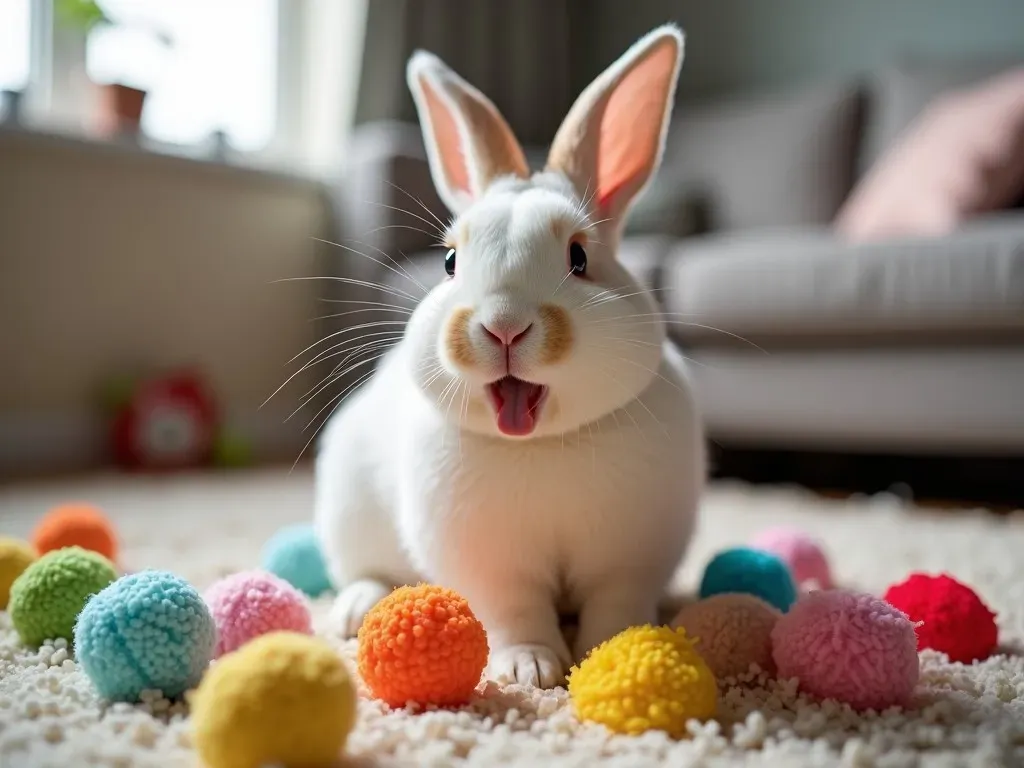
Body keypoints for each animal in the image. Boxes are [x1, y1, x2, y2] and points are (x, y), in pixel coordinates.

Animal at [313, 24, 704, 688]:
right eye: (449, 262)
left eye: (579, 257)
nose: (502, 327)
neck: (544, 443)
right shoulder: (493, 568)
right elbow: (517, 612)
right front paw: (533, 670)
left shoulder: (630, 559)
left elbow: (614, 605)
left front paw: (610, 650)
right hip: (350, 513)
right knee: (364, 571)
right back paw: (355, 609)